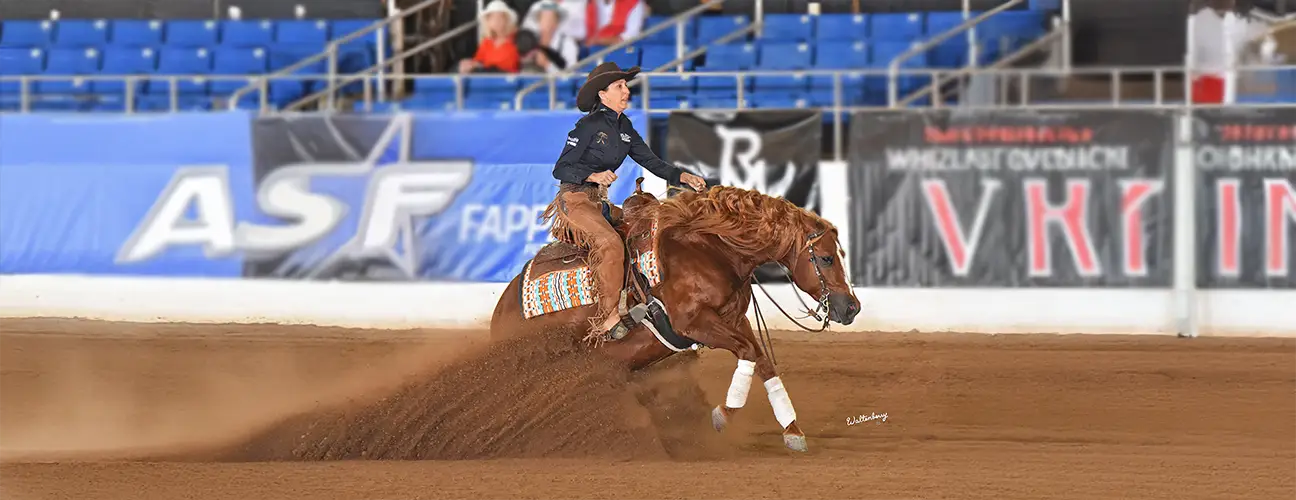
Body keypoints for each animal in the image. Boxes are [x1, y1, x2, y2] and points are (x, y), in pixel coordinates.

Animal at [489, 181, 860, 452]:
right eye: (826, 258)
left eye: (841, 254)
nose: (851, 307)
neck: (708, 250)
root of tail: (501, 313)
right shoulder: (694, 324)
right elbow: (747, 353)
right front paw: (722, 415)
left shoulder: (734, 320)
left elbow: (763, 361)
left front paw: (792, 431)